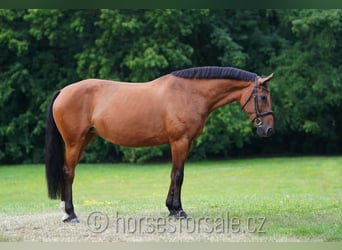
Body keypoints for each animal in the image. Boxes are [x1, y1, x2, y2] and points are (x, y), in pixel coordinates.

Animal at [45, 66, 274, 223]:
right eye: (263, 97)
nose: (268, 130)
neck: (189, 93)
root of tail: (63, 91)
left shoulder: (186, 143)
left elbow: (174, 174)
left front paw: (172, 209)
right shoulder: (179, 141)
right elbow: (179, 175)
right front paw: (179, 211)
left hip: (85, 139)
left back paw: (66, 212)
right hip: (74, 142)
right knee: (68, 172)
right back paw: (70, 214)